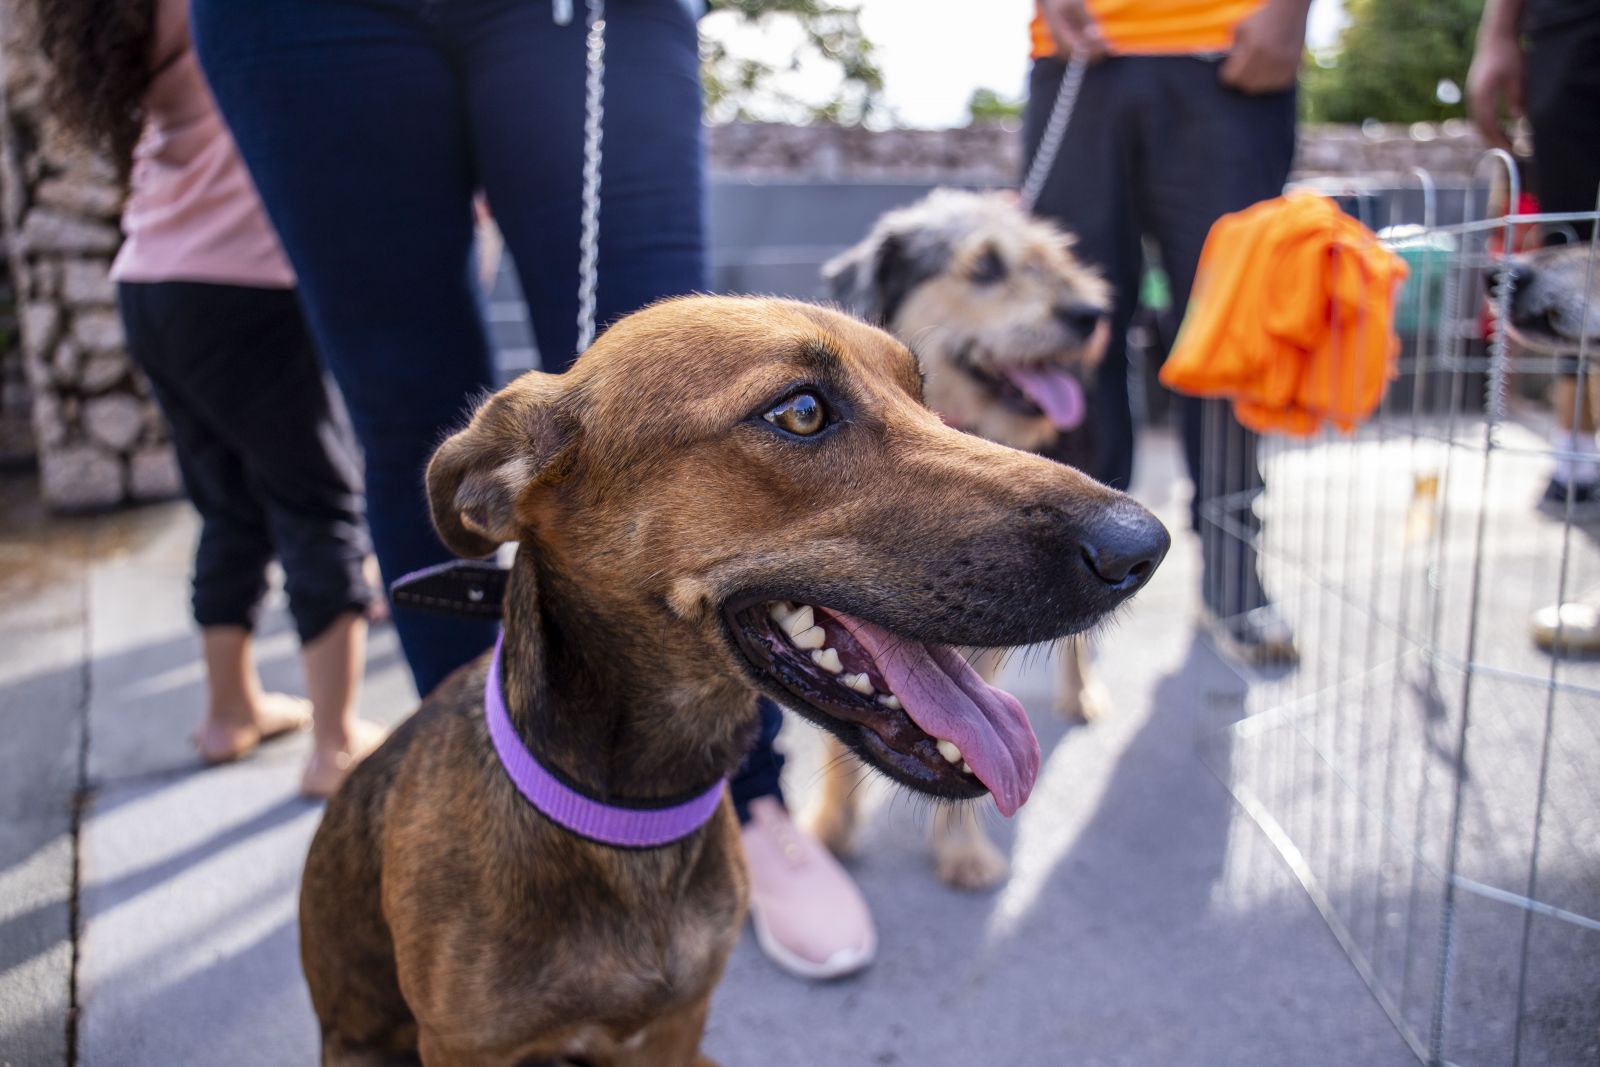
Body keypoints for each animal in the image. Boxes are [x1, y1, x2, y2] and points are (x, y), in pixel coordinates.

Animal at [297, 294, 1164, 1067]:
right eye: (802, 412)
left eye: (922, 393)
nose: (1145, 544)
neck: (630, 820)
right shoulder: (465, 1047)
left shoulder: (678, 1025)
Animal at [812, 187, 1113, 889]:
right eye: (984, 268)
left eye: (1054, 260)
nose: (1090, 314)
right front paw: (832, 831)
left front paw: (962, 851)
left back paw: (1081, 693)